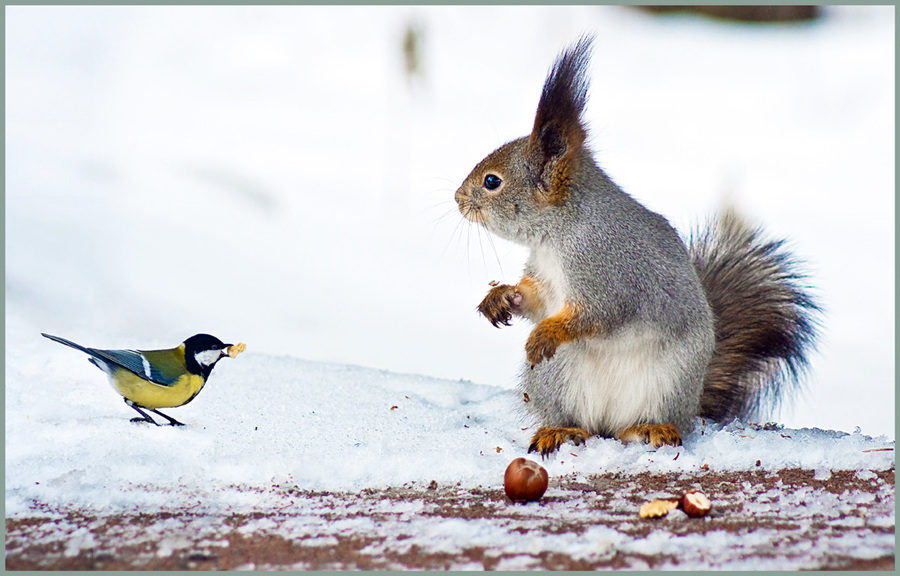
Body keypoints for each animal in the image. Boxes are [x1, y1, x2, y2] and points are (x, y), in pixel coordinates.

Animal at [454, 38, 820, 456]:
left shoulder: (609, 271)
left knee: (641, 420)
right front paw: (501, 297)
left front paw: (546, 332)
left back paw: (650, 428)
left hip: (667, 381)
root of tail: (608, 422)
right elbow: (534, 299)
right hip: (556, 378)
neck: (556, 237)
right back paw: (560, 430)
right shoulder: (545, 278)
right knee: (578, 420)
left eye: (492, 182)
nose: (457, 199)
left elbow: (597, 314)